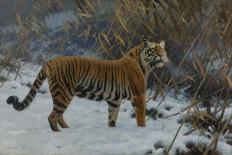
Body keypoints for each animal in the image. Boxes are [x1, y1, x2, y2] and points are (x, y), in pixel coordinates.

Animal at [6, 38, 170, 131]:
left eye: (163, 49)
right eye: (154, 50)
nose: (163, 56)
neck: (146, 65)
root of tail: (51, 61)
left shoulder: (114, 101)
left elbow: (112, 117)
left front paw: (112, 129)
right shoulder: (138, 96)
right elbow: (141, 117)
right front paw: (142, 130)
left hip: (61, 94)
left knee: (58, 114)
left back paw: (67, 129)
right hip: (64, 93)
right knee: (53, 116)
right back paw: (59, 132)